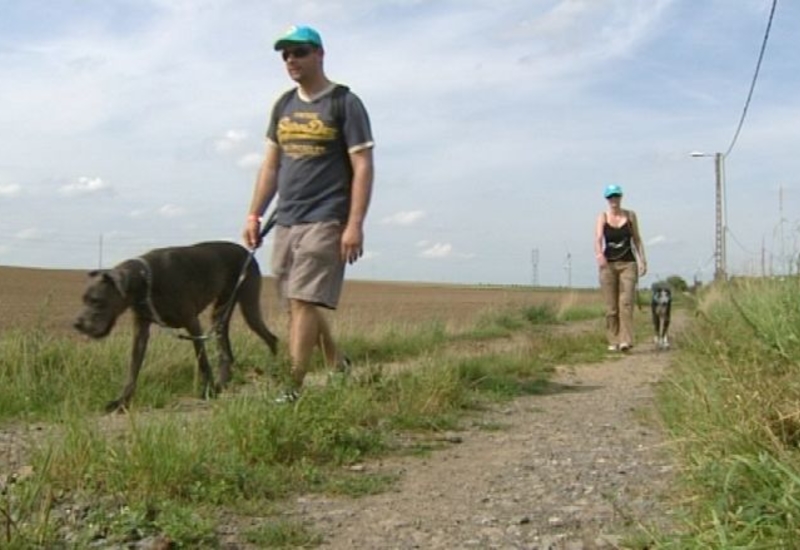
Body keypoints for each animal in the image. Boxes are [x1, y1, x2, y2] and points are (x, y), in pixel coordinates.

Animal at [73, 242, 278, 414]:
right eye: (83, 299)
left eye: (96, 301)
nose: (77, 324)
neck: (145, 282)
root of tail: (248, 252)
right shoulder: (140, 331)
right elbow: (133, 369)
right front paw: (122, 401)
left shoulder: (192, 323)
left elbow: (202, 361)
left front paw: (208, 390)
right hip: (221, 311)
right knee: (226, 351)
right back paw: (224, 382)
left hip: (248, 305)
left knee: (271, 338)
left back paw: (274, 367)